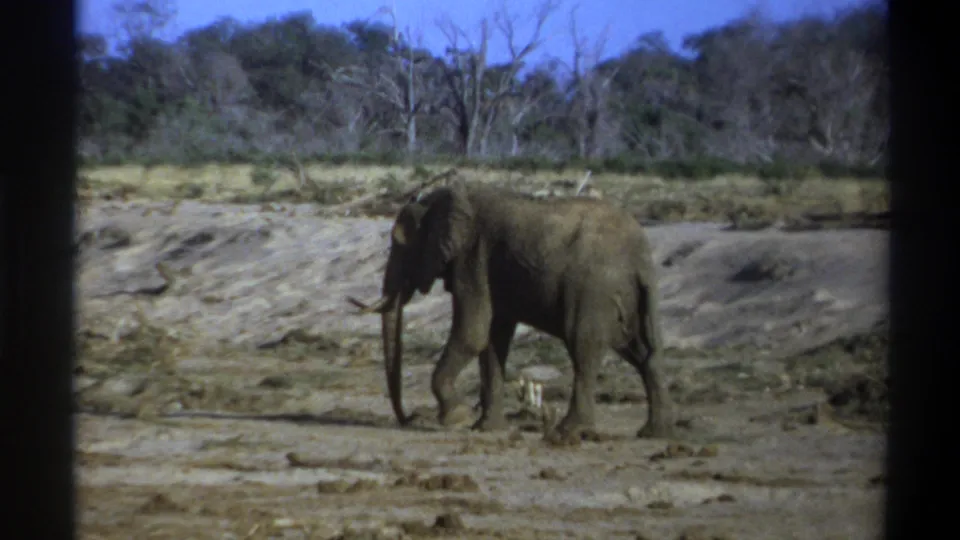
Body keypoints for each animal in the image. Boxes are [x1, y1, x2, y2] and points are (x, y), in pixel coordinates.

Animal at [348, 182, 674, 439]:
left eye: (401, 246)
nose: (408, 419)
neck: (441, 200)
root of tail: (641, 257)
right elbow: (493, 340)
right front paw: (484, 428)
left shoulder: (472, 258)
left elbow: (473, 333)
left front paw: (457, 417)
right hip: (627, 298)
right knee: (643, 353)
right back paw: (654, 433)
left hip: (594, 289)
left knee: (584, 350)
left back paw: (569, 432)